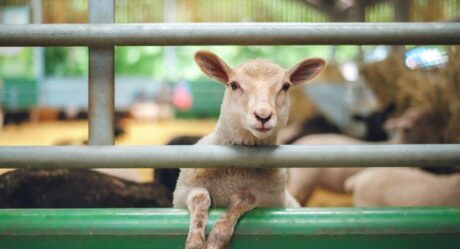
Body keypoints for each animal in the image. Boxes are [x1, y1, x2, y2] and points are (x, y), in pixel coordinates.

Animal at [173, 50, 328, 249]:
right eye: (234, 85)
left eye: (286, 86)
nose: (263, 116)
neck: (235, 174)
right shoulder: (181, 192)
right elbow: (199, 198)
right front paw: (195, 241)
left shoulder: (271, 199)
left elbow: (244, 198)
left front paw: (217, 236)